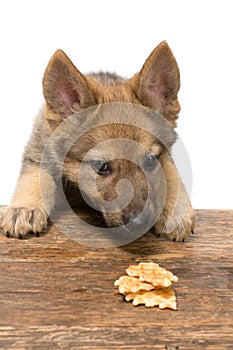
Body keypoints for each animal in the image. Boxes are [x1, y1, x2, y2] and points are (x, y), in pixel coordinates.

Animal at [0, 41, 195, 241]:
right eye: (101, 166)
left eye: (151, 160)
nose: (139, 223)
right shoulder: (38, 153)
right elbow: (35, 177)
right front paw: (24, 208)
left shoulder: (165, 157)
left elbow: (171, 173)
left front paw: (175, 210)